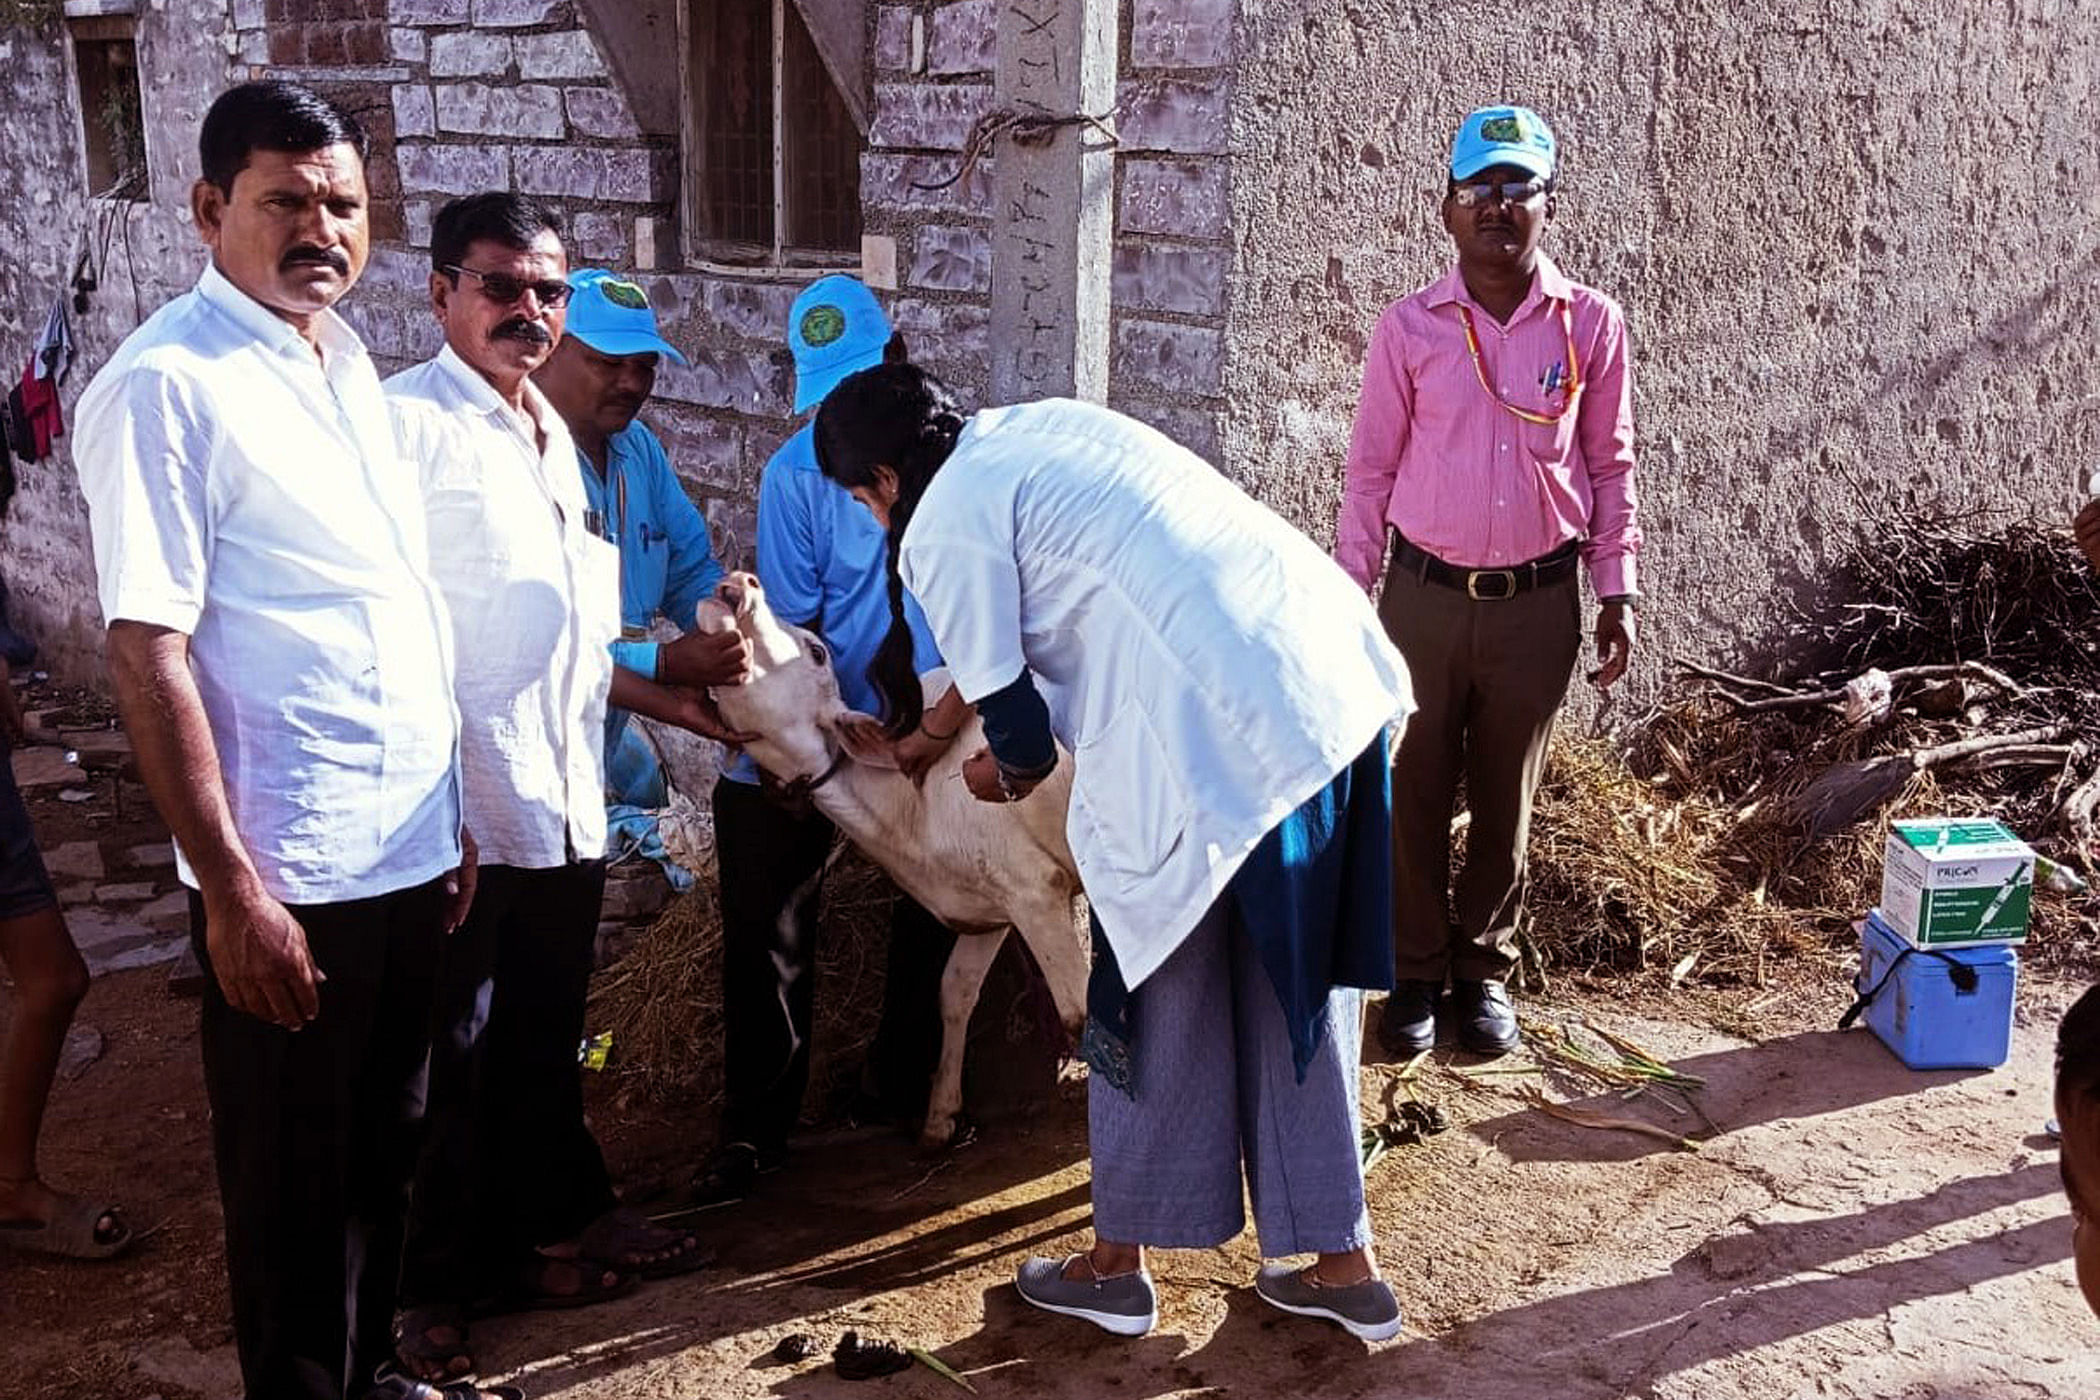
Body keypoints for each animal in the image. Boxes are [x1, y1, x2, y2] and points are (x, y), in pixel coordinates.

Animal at [692, 570, 1092, 1150]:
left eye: (817, 651)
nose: (737, 581)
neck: (910, 805)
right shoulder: (988, 902)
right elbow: (954, 992)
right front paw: (940, 1116)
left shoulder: (1035, 889)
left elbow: (1079, 1009)